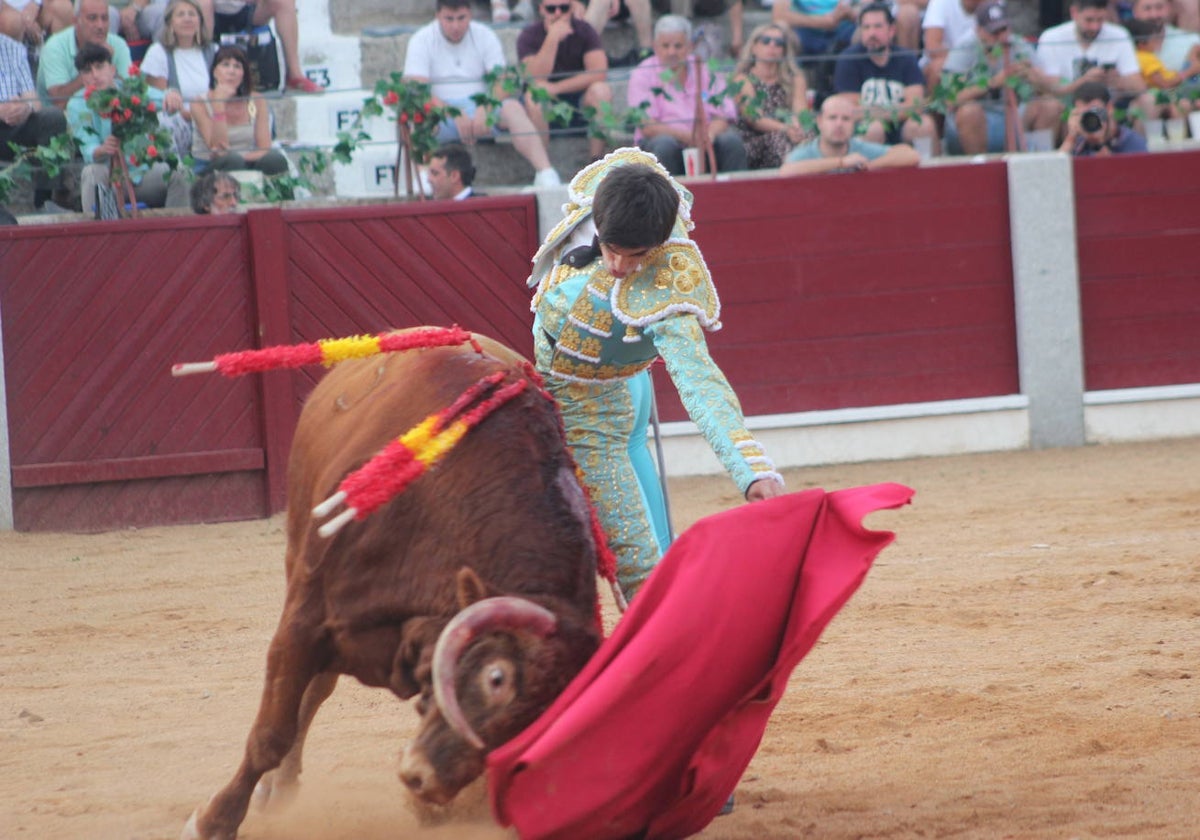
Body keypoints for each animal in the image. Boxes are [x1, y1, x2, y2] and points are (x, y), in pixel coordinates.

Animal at [180, 331, 600, 840]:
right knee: (310, 694)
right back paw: (275, 790)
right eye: (495, 678)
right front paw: (213, 821)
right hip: (296, 554)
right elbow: (271, 733)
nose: (427, 781)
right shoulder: (305, 620)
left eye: (546, 723)